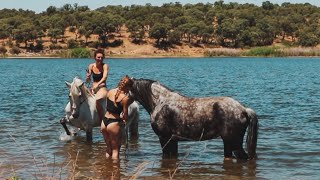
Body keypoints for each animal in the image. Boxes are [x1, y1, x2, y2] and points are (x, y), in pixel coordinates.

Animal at [130, 78, 258, 160]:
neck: (160, 101)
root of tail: (244, 109)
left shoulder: (164, 139)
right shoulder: (173, 140)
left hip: (234, 143)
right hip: (228, 143)